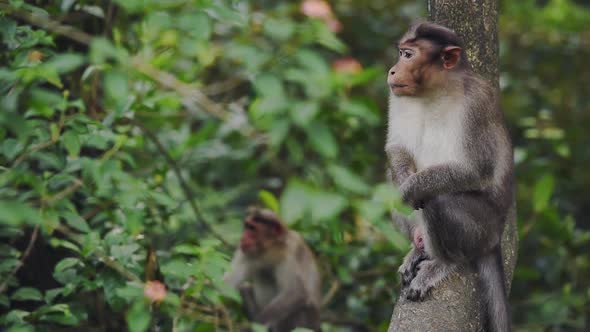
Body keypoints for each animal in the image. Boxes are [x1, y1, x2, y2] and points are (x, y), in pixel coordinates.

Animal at [386, 21, 516, 332]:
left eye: (408, 55)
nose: (393, 71)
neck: (435, 90)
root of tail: (495, 237)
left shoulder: (476, 103)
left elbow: (474, 169)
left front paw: (411, 188)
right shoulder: (397, 95)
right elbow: (396, 147)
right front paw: (404, 183)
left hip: (480, 229)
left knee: (439, 199)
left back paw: (442, 262)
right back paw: (418, 249)